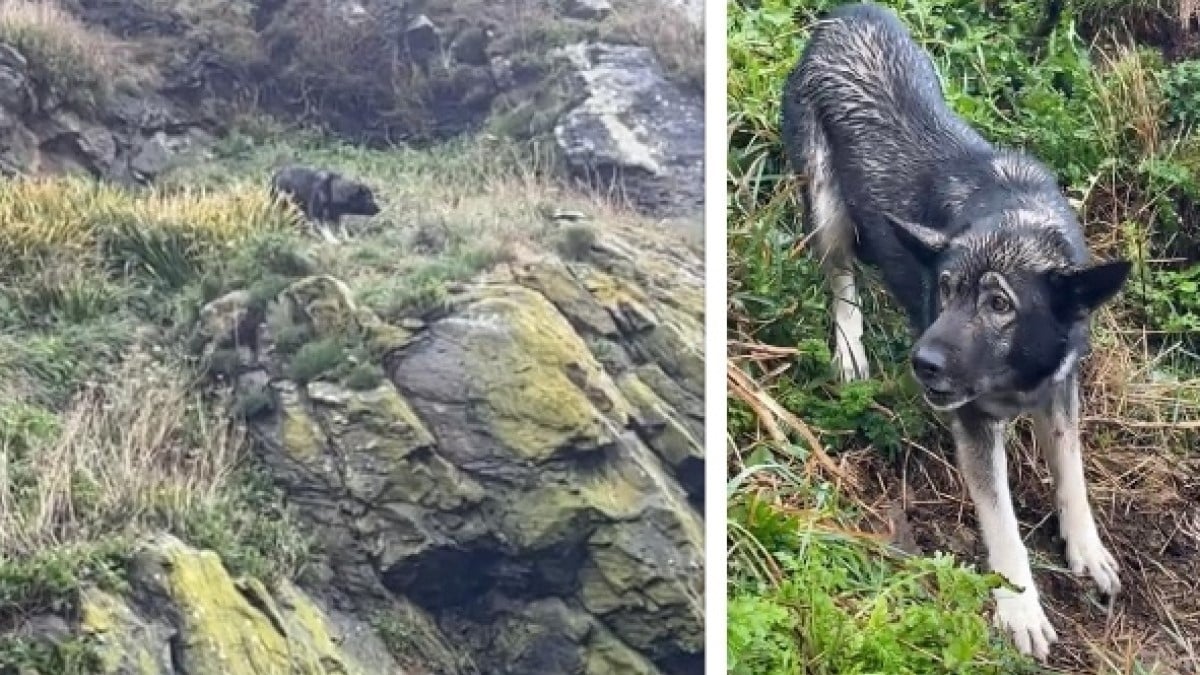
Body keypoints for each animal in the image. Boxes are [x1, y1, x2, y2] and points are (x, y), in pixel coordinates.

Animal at [782, 2, 1128, 658]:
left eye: (999, 304)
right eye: (944, 289)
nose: (923, 363)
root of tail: (846, 15)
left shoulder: (1060, 390)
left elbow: (1072, 472)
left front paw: (1087, 549)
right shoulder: (971, 422)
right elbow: (1002, 521)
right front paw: (1020, 608)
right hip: (826, 204)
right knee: (839, 274)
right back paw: (850, 351)